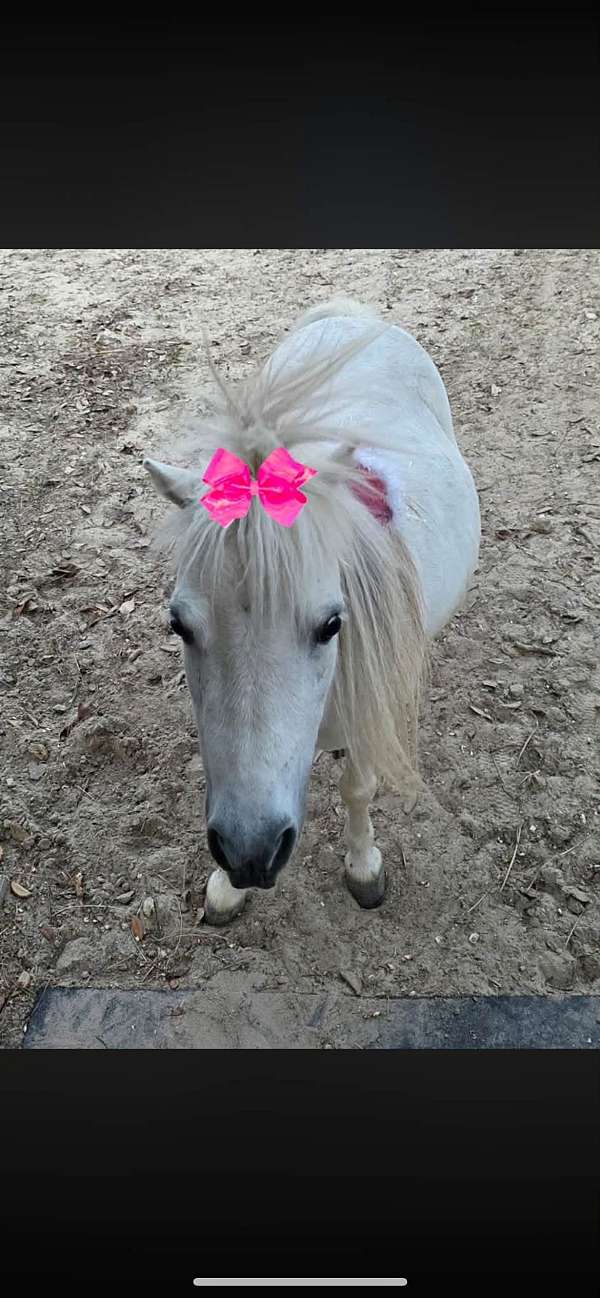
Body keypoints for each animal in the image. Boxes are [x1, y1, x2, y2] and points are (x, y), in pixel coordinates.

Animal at [144, 298, 481, 926]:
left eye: (332, 625)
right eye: (178, 625)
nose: (249, 852)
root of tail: (352, 315)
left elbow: (357, 789)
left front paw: (363, 867)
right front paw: (226, 888)